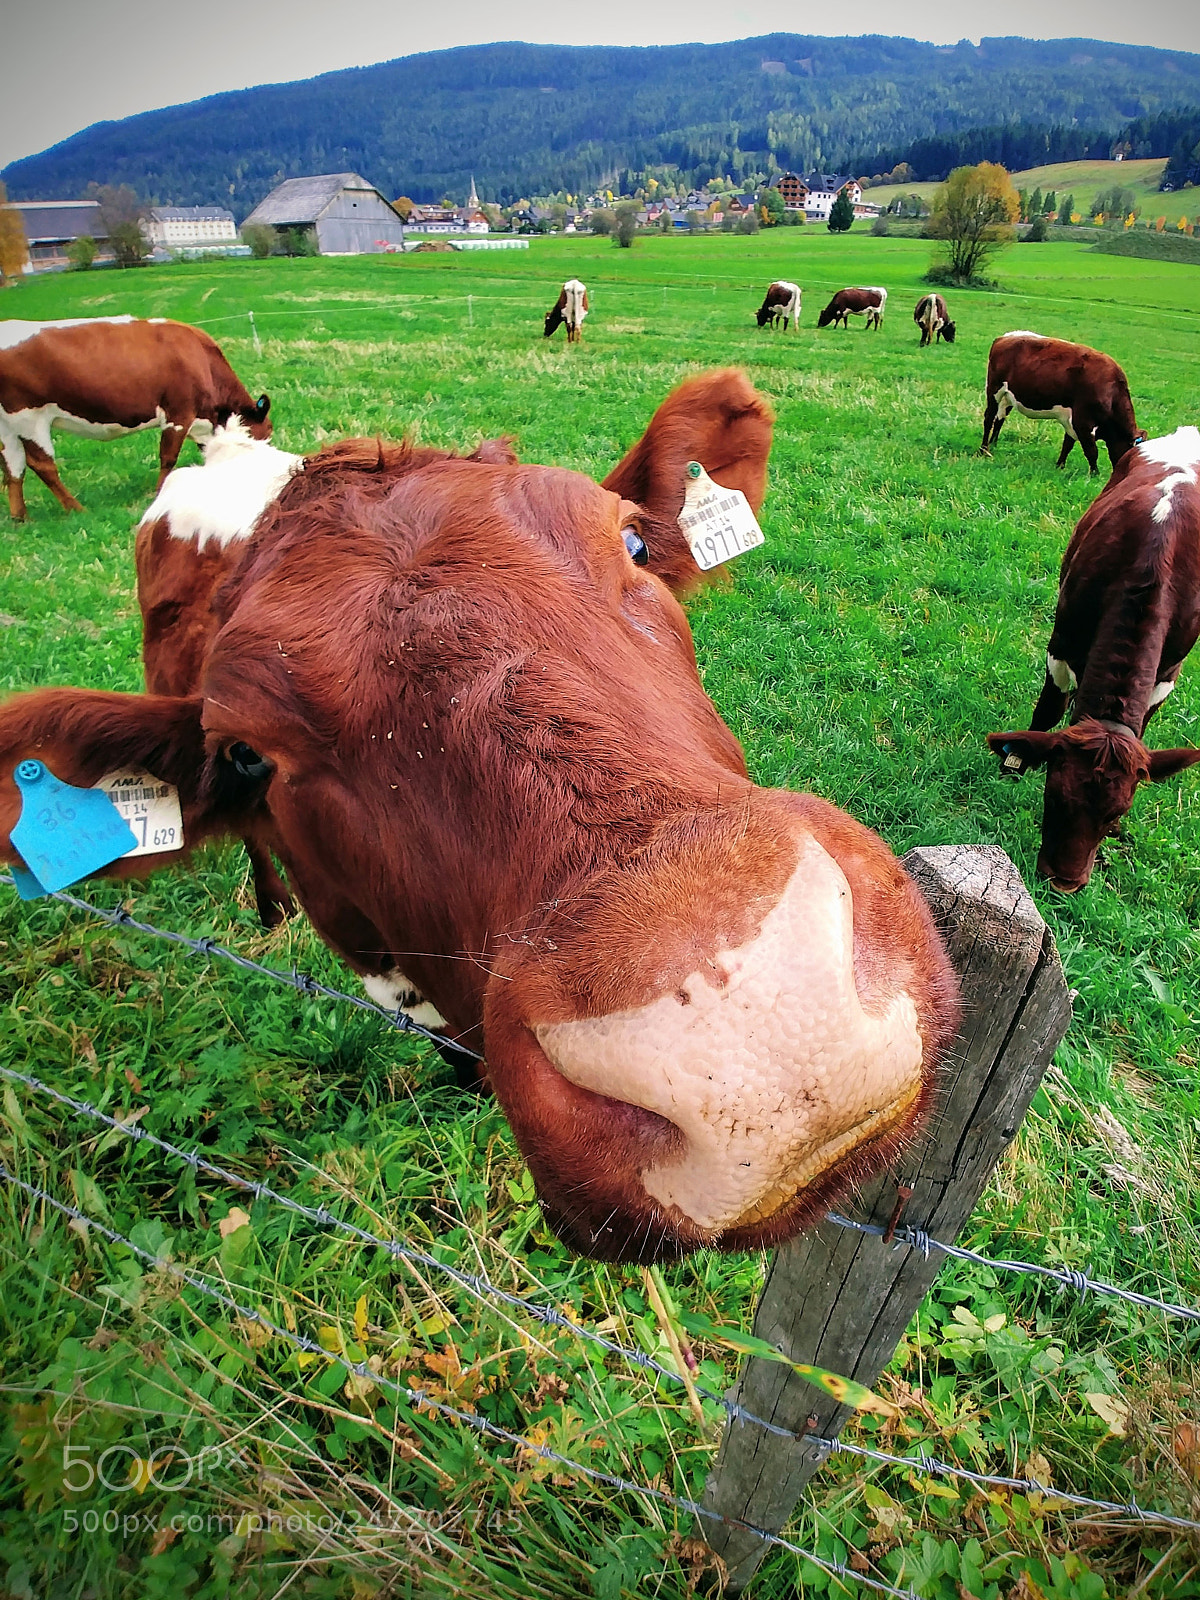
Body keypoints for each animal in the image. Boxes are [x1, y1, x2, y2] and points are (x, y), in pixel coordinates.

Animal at [0, 316, 271, 521]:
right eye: (266, 433)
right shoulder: (178, 414)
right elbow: (168, 456)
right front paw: (159, 492)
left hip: (8, 427)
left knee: (14, 466)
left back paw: (20, 518)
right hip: (29, 418)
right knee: (42, 464)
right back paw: (76, 509)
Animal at [980, 332, 1140, 474]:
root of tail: (1005, 337)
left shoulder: (1072, 421)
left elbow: (1067, 444)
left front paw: (1060, 466)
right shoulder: (1082, 421)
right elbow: (1091, 451)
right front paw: (1095, 474)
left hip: (1008, 396)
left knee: (999, 419)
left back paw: (993, 445)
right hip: (994, 390)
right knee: (989, 418)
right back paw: (984, 450)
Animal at [987, 425, 1200, 893]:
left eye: (1117, 812)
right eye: (1053, 793)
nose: (1065, 882)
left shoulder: (1168, 672)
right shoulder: (1062, 642)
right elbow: (1047, 713)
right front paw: (1015, 764)